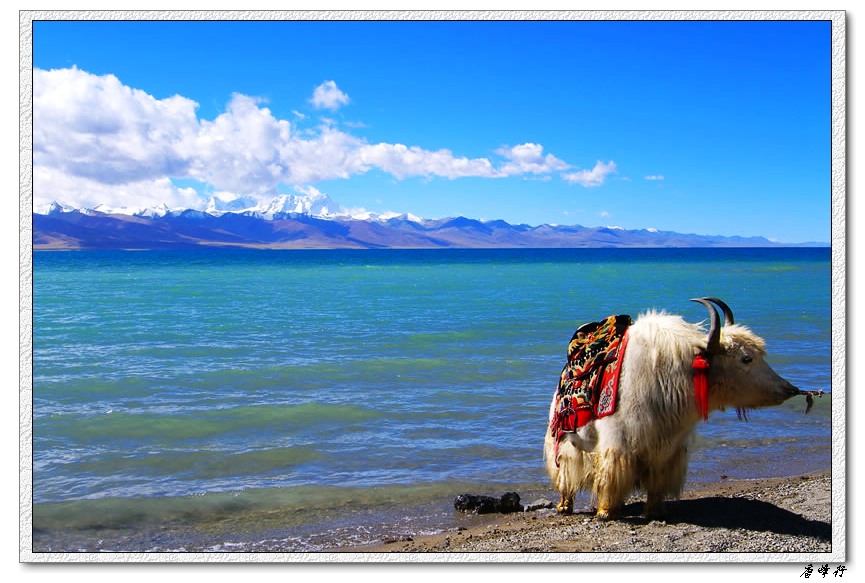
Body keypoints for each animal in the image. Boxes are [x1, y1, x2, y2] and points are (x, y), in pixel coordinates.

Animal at [544, 297, 801, 520]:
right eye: (746, 359)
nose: (789, 389)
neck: (674, 377)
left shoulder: (667, 448)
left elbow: (657, 481)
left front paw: (655, 512)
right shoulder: (618, 442)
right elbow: (611, 474)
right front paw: (606, 512)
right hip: (563, 440)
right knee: (565, 474)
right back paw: (564, 505)